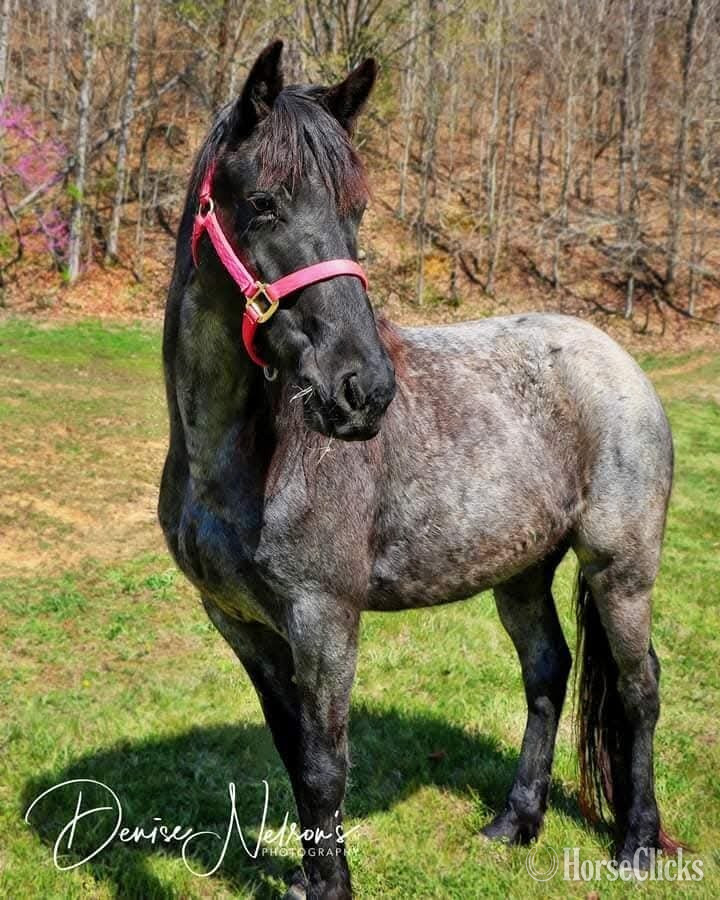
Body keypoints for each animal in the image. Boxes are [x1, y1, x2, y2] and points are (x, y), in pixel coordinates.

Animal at [159, 40, 679, 899]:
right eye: (263, 203)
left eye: (356, 212)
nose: (362, 390)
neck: (237, 464)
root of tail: (619, 363)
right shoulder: (243, 626)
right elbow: (297, 762)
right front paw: (310, 878)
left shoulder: (324, 620)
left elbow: (326, 769)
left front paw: (331, 888)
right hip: (522, 572)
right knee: (548, 672)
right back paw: (516, 823)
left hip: (621, 571)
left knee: (639, 690)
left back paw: (636, 842)